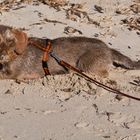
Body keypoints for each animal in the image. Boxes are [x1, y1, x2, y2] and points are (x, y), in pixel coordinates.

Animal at [0, 24, 140, 80]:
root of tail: (108, 49)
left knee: (105, 72)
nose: (2, 56)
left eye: (10, 40)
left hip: (85, 63)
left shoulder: (12, 73)